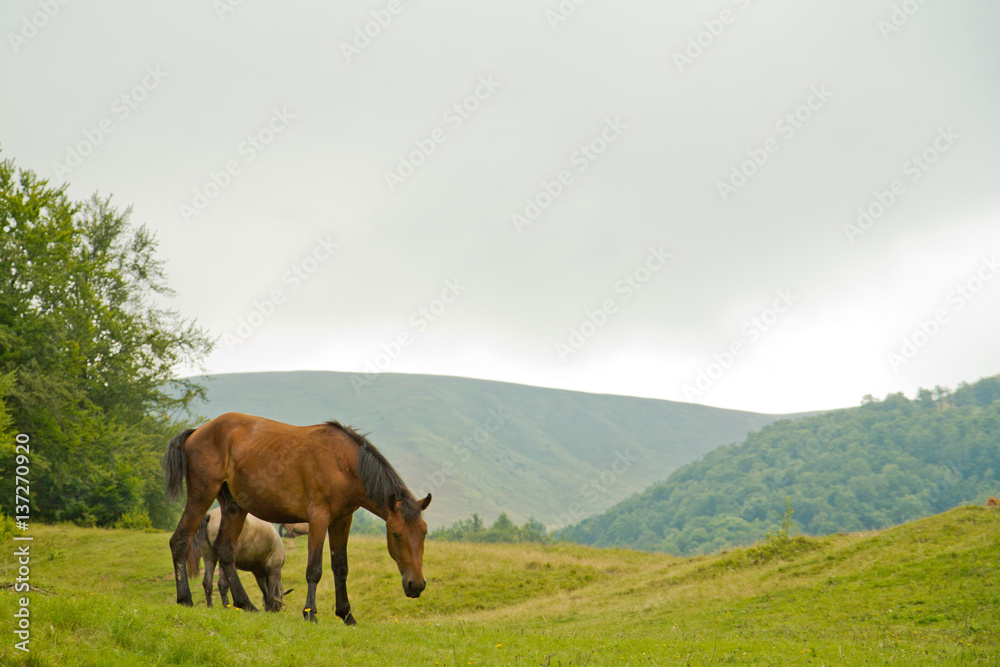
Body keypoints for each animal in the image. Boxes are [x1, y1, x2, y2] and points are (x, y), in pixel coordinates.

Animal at [162, 412, 432, 628]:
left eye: (424, 533)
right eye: (395, 534)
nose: (416, 585)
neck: (343, 463)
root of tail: (197, 431)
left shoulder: (342, 521)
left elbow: (340, 568)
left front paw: (346, 615)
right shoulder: (319, 518)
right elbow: (314, 570)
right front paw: (310, 613)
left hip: (234, 508)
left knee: (225, 551)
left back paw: (245, 603)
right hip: (201, 495)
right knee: (180, 540)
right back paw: (185, 599)